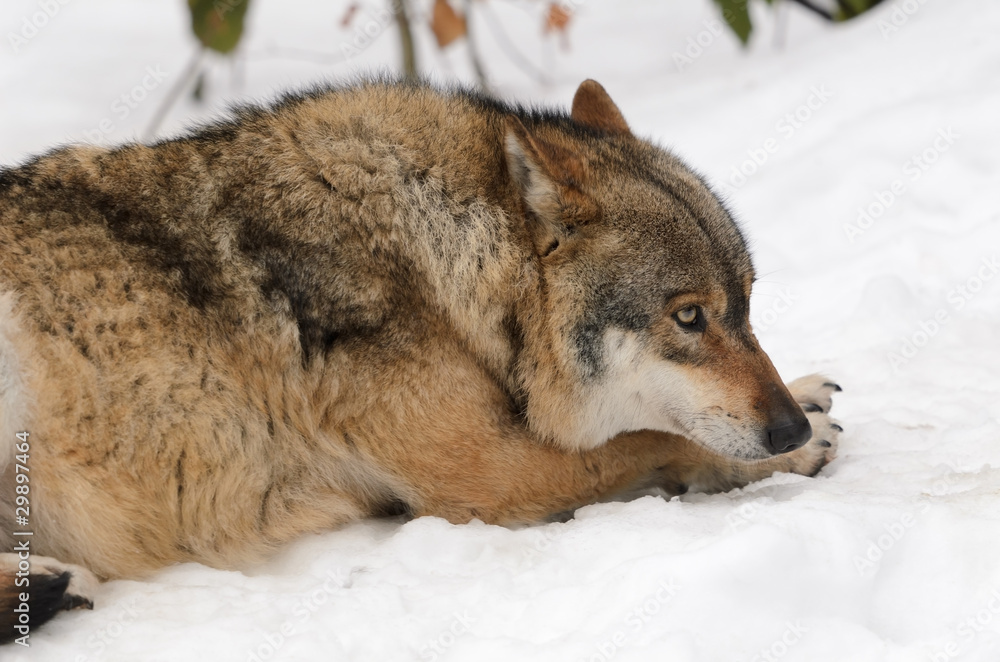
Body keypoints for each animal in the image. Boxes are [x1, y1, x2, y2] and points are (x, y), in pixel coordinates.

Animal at [0, 78, 841, 643]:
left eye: (746, 306)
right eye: (689, 317)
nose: (789, 430)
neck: (438, 261)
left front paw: (807, 394)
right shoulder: (486, 477)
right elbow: (656, 440)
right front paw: (787, 460)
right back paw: (46, 588)